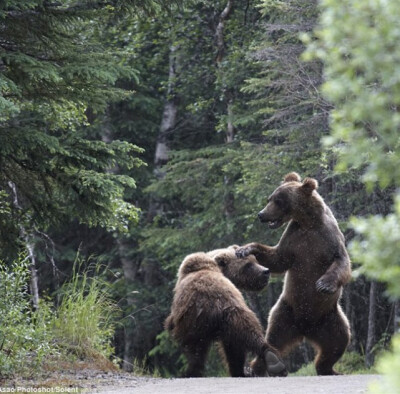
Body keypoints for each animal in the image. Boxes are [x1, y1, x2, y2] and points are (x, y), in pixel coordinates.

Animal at [164, 246, 286, 378]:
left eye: (255, 260)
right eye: (248, 264)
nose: (265, 271)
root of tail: (215, 301)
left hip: (198, 322)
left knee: (197, 350)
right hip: (231, 315)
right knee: (244, 335)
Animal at [236, 172, 352, 376]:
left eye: (278, 200)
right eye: (269, 199)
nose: (261, 214)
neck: (309, 222)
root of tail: (305, 329)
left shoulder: (328, 239)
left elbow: (341, 263)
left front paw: (323, 284)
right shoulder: (294, 240)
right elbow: (277, 258)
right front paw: (244, 249)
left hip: (330, 319)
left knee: (337, 343)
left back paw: (329, 369)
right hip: (285, 313)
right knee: (273, 339)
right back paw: (257, 368)